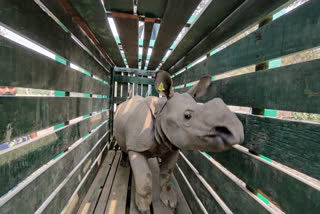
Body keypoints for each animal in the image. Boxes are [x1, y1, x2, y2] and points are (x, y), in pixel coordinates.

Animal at [114, 70, 244, 212]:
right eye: (187, 116)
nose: (236, 132)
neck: (161, 114)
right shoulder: (136, 147)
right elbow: (144, 178)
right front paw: (143, 208)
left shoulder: (172, 146)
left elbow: (167, 173)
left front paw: (171, 201)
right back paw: (124, 165)